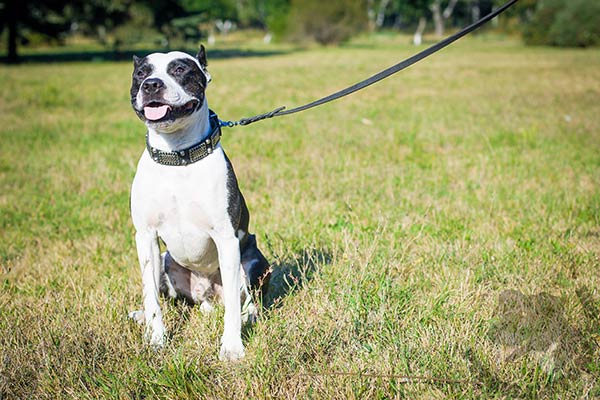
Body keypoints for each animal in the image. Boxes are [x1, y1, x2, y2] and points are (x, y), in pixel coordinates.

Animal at [131, 47, 272, 362]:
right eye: (141, 73)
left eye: (180, 69)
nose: (151, 85)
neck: (177, 155)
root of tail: (207, 296)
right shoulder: (145, 238)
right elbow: (151, 297)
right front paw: (156, 339)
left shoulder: (226, 239)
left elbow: (233, 305)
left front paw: (232, 347)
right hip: (166, 261)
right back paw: (141, 316)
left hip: (253, 262)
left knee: (247, 301)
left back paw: (249, 317)